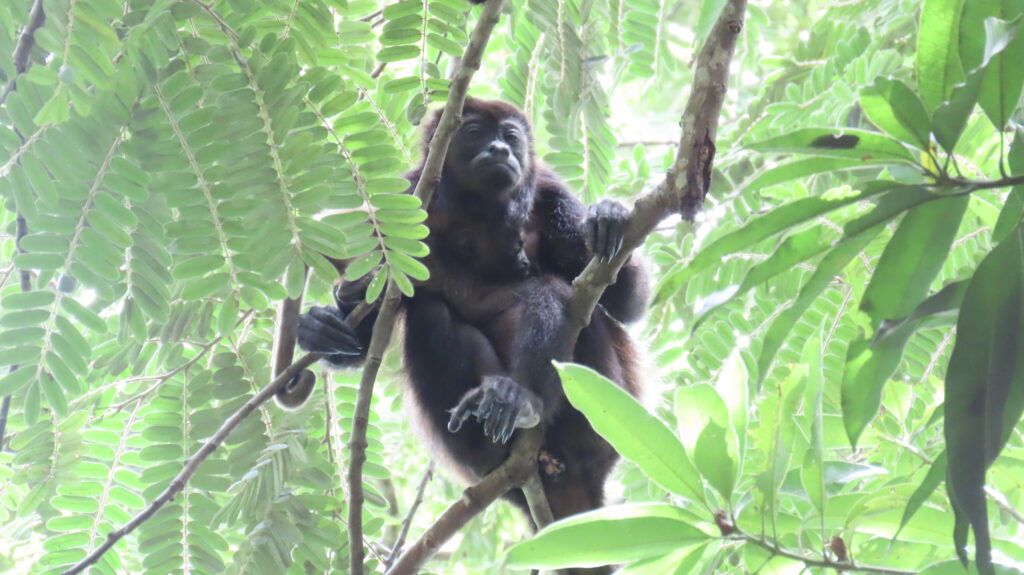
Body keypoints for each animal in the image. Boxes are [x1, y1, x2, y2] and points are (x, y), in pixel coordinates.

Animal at [296, 97, 647, 568]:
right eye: (475, 132)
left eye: (512, 136)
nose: (500, 149)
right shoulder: (400, 209)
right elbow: (368, 327)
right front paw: (322, 328)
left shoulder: (552, 195)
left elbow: (626, 300)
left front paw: (605, 218)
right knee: (429, 314)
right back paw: (493, 426)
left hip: (606, 410)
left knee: (559, 296)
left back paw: (520, 399)